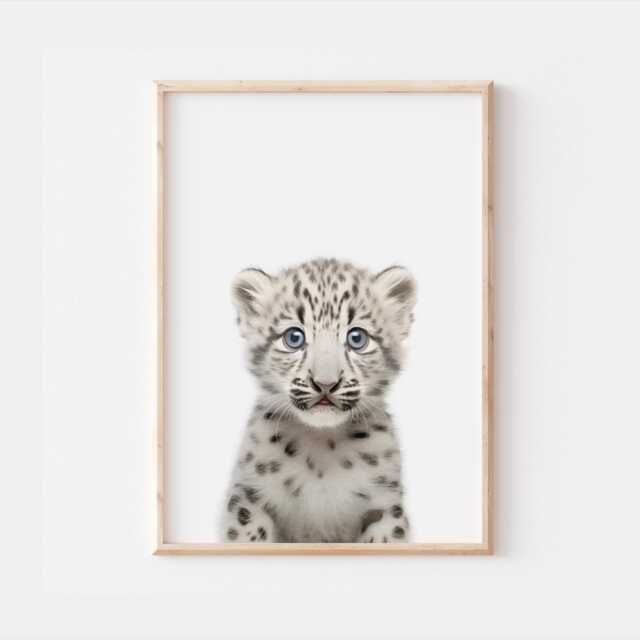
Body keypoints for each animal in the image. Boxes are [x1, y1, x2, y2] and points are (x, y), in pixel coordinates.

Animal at [221, 258, 416, 543]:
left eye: (357, 338)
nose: (325, 383)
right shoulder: (250, 498)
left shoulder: (384, 507)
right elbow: (250, 538)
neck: (321, 447)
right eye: (294, 337)